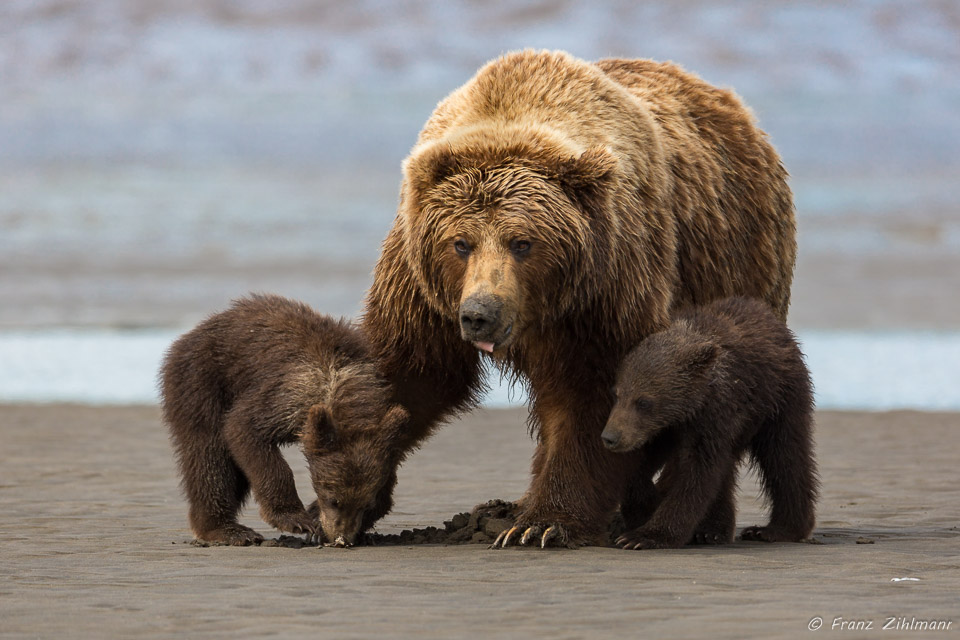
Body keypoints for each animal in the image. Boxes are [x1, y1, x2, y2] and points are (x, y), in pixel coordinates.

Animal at [360, 48, 796, 544]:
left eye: (522, 242)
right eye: (460, 243)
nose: (480, 314)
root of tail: (735, 108)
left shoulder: (603, 289)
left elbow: (593, 394)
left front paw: (544, 524)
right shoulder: (422, 288)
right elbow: (412, 374)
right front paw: (343, 503)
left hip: (738, 265)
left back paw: (698, 523)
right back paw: (506, 509)